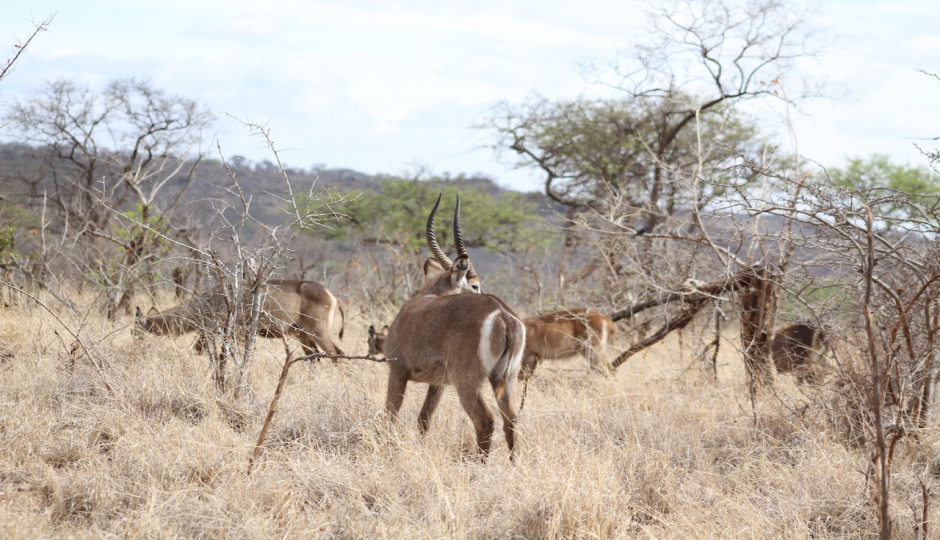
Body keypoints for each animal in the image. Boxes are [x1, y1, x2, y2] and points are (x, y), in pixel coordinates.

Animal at [136, 280, 346, 356]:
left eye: (136, 332)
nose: (136, 348)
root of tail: (332, 296)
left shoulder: (231, 332)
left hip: (318, 330)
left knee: (336, 352)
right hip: (303, 335)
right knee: (314, 357)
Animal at [384, 194, 528, 460]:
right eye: (475, 285)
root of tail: (502, 314)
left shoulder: (397, 370)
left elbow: (390, 414)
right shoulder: (439, 382)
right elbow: (424, 419)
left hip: (467, 380)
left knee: (485, 420)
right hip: (508, 378)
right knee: (511, 419)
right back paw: (515, 465)